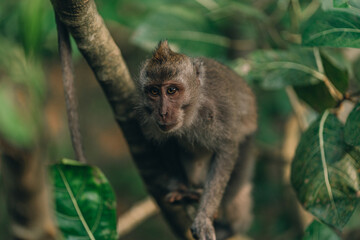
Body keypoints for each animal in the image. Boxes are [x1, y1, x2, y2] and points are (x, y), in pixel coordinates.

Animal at [136, 40, 258, 239]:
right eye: (154, 91)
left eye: (171, 90)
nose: (162, 113)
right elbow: (166, 143)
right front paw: (179, 186)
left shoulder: (216, 114)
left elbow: (227, 150)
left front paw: (205, 216)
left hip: (248, 142)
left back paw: (229, 226)